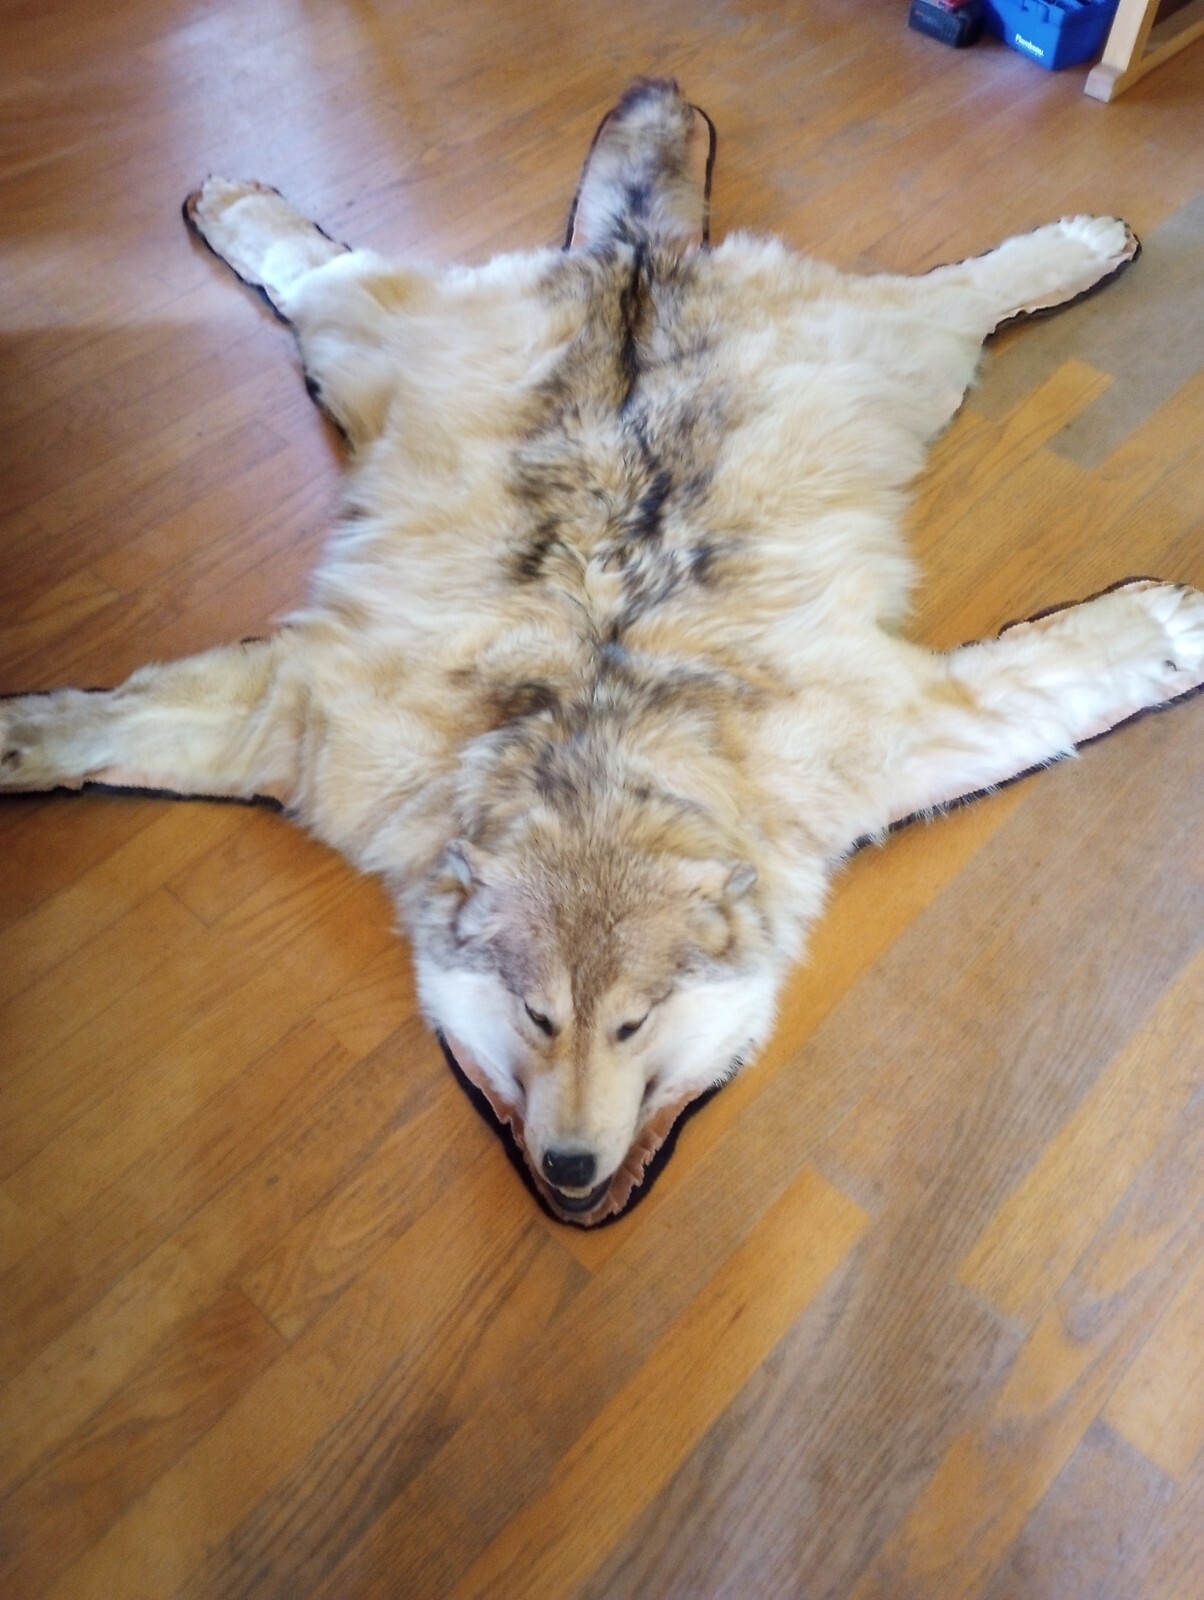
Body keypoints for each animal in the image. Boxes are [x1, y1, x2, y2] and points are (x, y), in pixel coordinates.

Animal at [3, 80, 1202, 1222]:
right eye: (537, 1017)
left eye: (634, 1024)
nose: (571, 1171)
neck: (592, 756)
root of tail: (634, 258)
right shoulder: (311, 727)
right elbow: (106, 724)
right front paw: (21, 740)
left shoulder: (883, 748)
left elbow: (1064, 679)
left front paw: (1166, 631)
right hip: (364, 355)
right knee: (317, 269)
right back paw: (238, 205)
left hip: (901, 364)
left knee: (960, 291)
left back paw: (1077, 245)